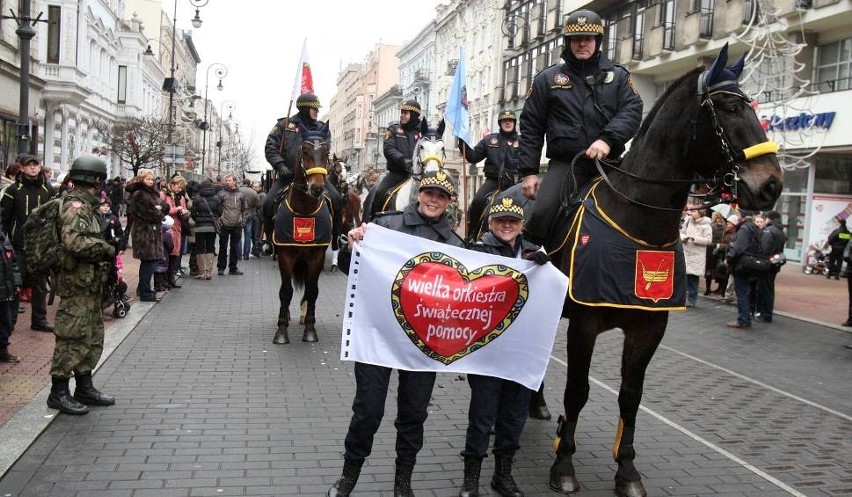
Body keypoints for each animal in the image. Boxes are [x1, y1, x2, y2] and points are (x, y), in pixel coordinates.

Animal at [544, 44, 784, 494]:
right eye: (729, 108)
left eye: (752, 106)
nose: (772, 185)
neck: (638, 219)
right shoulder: (584, 323)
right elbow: (577, 390)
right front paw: (564, 463)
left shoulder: (650, 327)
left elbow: (630, 395)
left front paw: (627, 470)